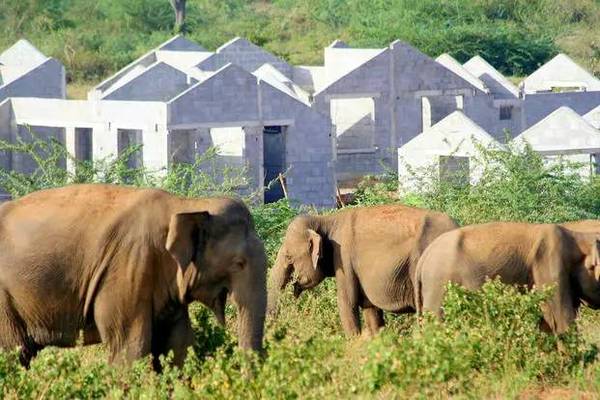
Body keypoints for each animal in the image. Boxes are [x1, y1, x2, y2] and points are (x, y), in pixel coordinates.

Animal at [0, 184, 264, 368]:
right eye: (239, 263)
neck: (185, 204)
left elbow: (177, 344)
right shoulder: (128, 266)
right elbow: (130, 348)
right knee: (12, 352)